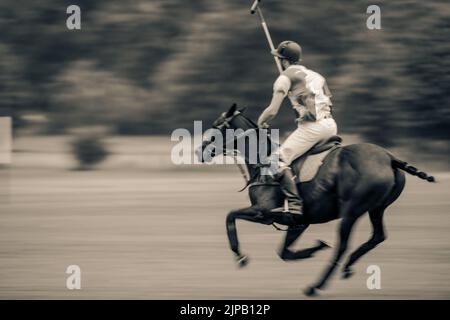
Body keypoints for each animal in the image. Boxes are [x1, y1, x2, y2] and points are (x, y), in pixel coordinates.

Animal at [195, 104, 434, 296]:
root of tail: (389, 158)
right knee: (378, 236)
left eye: (216, 126)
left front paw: (240, 256)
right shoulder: (299, 222)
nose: (199, 151)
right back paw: (347, 267)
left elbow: (230, 216)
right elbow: (285, 252)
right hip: (376, 208)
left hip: (351, 211)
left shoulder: (263, 211)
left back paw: (316, 286)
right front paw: (314, 248)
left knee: (343, 246)